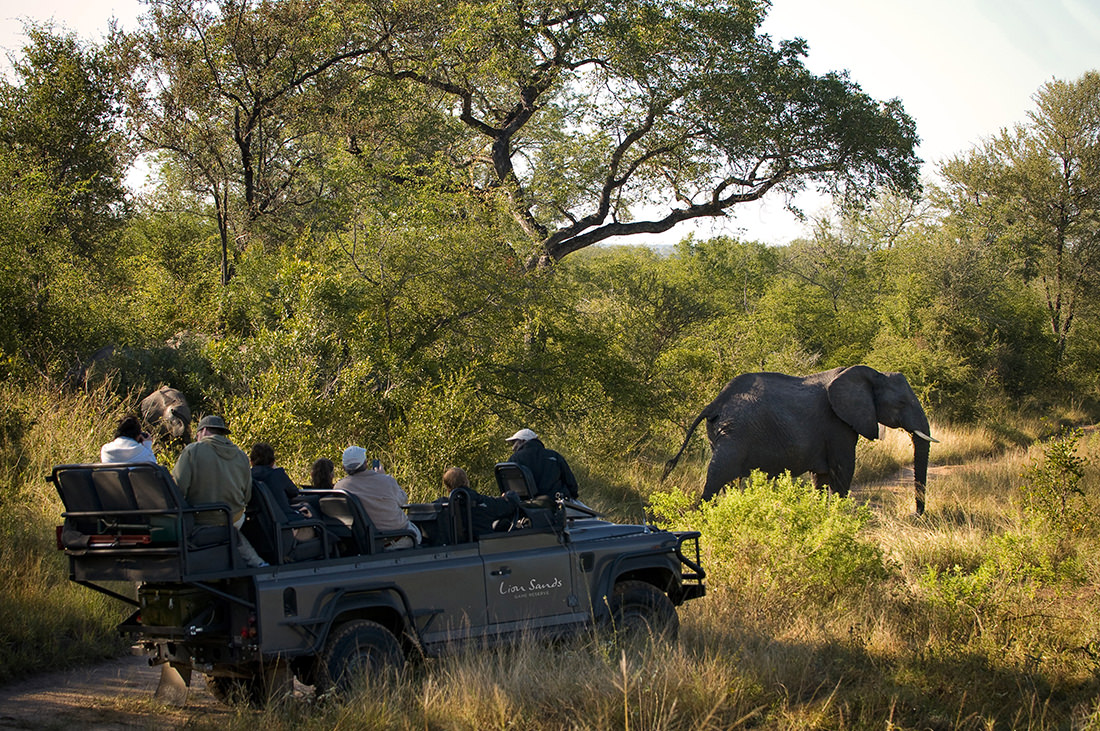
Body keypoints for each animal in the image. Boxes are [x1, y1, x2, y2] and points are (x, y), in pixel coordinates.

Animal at [660, 364, 937, 512]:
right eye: (901, 404)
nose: (916, 515)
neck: (871, 374)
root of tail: (714, 402)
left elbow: (822, 478)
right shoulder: (837, 425)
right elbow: (843, 470)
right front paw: (839, 517)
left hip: (724, 433)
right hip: (734, 435)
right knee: (718, 476)